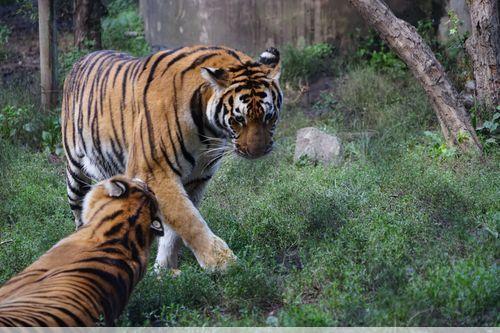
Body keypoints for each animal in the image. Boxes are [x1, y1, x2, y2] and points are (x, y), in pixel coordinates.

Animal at [60, 44, 284, 270]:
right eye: (239, 119)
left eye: (269, 116)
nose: (258, 152)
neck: (208, 130)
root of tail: (83, 58)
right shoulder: (155, 171)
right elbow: (188, 219)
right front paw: (222, 262)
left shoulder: (196, 177)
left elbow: (176, 228)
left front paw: (165, 269)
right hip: (76, 171)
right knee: (79, 209)